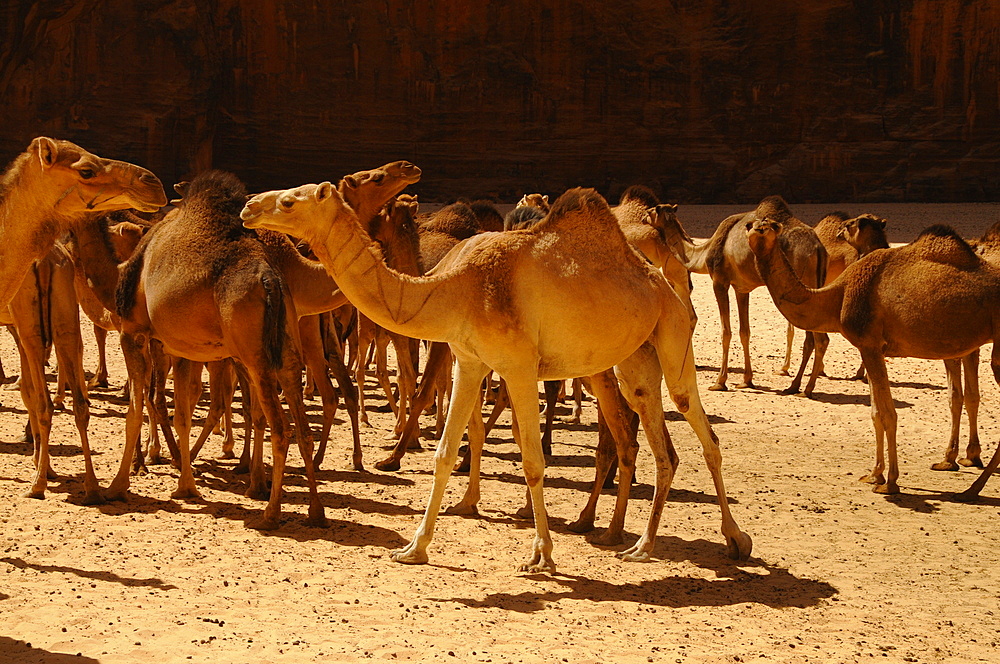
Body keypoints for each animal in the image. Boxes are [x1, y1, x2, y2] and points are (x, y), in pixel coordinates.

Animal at [244, 180, 752, 572]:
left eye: (289, 201)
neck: (452, 287)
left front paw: (542, 555)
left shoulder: (519, 367)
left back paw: (733, 540)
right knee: (658, 445)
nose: (249, 206)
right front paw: (414, 547)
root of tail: (661, 280)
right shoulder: (469, 360)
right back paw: (635, 542)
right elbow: (445, 453)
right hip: (635, 361)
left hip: (673, 336)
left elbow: (532, 461)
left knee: (704, 434)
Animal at [748, 210, 1000, 496]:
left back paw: (972, 488)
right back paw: (971, 482)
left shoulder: (869, 344)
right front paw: (874, 474)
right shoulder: (871, 348)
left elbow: (887, 414)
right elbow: (875, 413)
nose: (760, 228)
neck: (838, 295)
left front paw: (890, 482)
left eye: (770, 226)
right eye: (752, 225)